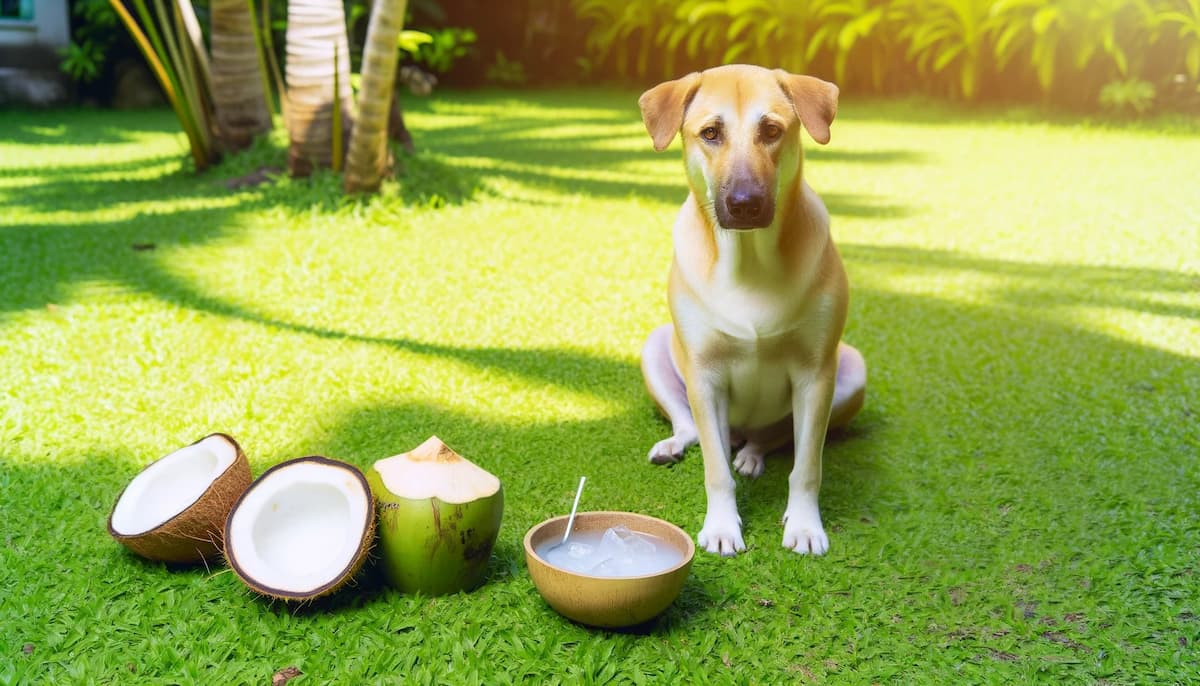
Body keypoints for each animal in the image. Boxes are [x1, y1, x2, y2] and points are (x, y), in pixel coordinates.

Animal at [643, 64, 868, 556]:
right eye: (710, 133)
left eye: (771, 130)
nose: (745, 203)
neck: (749, 261)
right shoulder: (704, 376)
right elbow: (714, 469)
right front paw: (722, 526)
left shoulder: (816, 376)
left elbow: (807, 466)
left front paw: (804, 525)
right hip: (655, 349)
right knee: (693, 428)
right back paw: (677, 445)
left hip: (852, 371)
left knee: (771, 437)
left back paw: (750, 455)